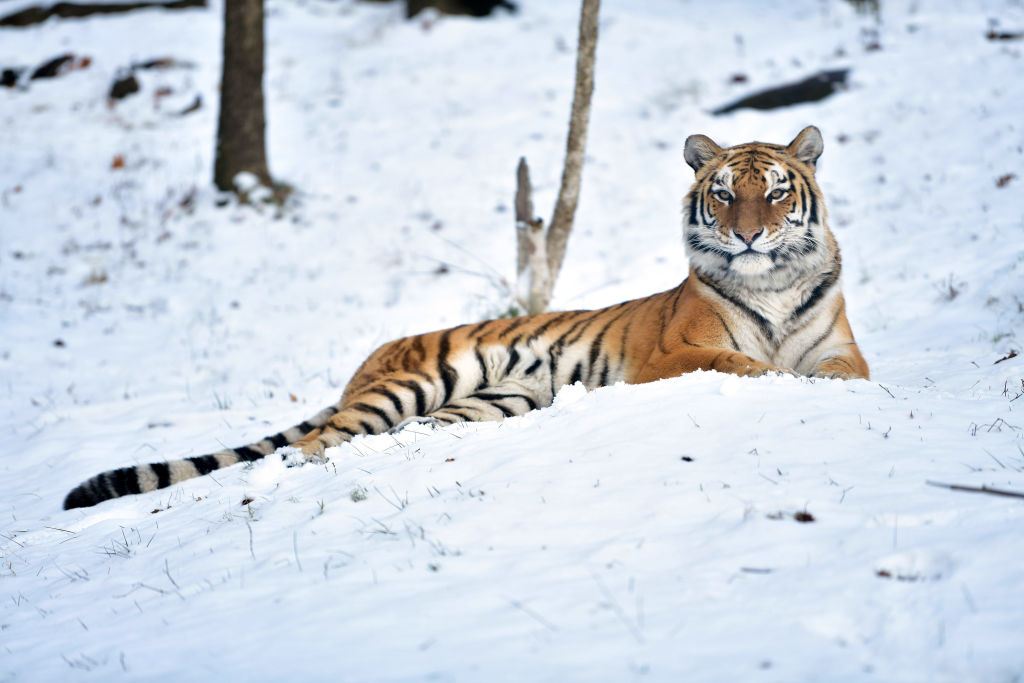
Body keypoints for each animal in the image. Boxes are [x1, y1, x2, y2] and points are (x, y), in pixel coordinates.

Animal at [61, 125, 864, 509]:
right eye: (724, 192)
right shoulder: (672, 357)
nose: (748, 235)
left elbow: (843, 373)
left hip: (489, 401)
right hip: (405, 387)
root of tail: (367, 360)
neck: (772, 284)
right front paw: (777, 380)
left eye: (777, 192)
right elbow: (742, 362)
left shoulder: (842, 347)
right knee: (314, 441)